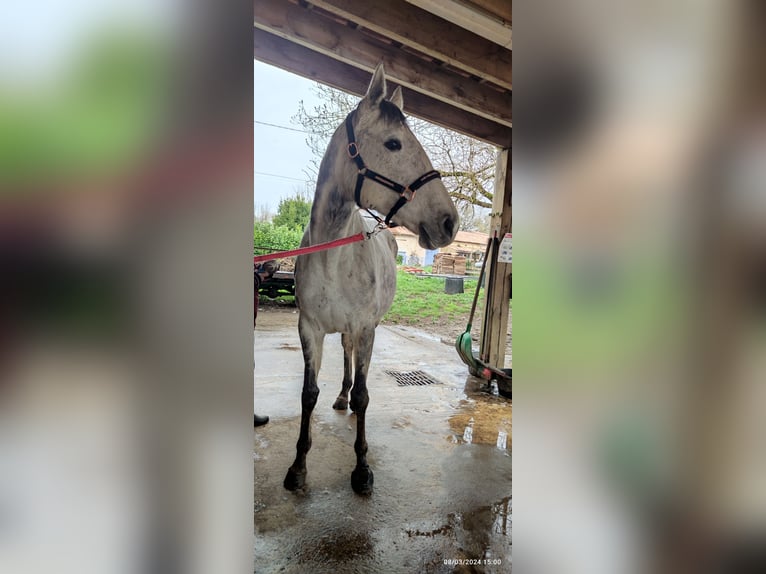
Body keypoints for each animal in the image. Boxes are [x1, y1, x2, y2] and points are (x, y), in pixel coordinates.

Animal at [284, 64, 460, 496]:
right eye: (394, 144)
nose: (449, 222)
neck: (333, 255)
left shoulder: (365, 327)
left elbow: (364, 396)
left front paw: (361, 469)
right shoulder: (308, 328)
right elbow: (308, 395)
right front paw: (298, 466)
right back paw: (340, 395)